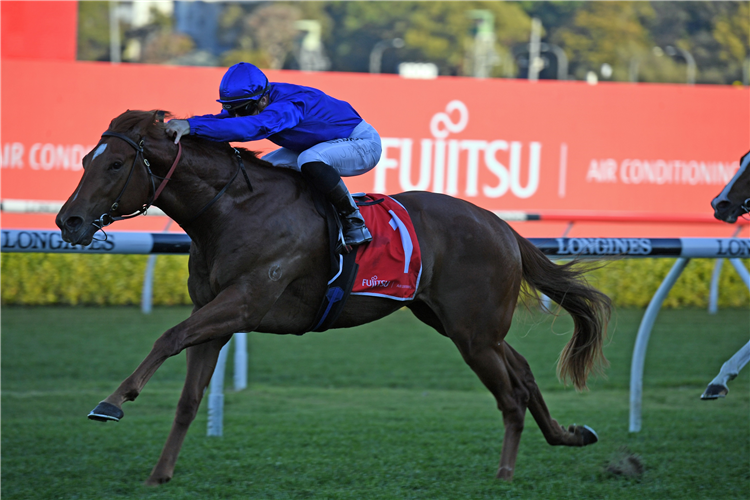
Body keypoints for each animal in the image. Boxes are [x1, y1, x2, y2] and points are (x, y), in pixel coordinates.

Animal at [57, 109, 612, 484]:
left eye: (117, 164)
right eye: (85, 158)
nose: (69, 221)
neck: (231, 209)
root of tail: (501, 226)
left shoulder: (244, 302)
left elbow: (168, 337)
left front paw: (111, 402)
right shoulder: (214, 314)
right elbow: (189, 399)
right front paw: (160, 473)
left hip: (472, 332)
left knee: (511, 394)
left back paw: (505, 472)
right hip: (457, 322)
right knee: (522, 371)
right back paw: (569, 434)